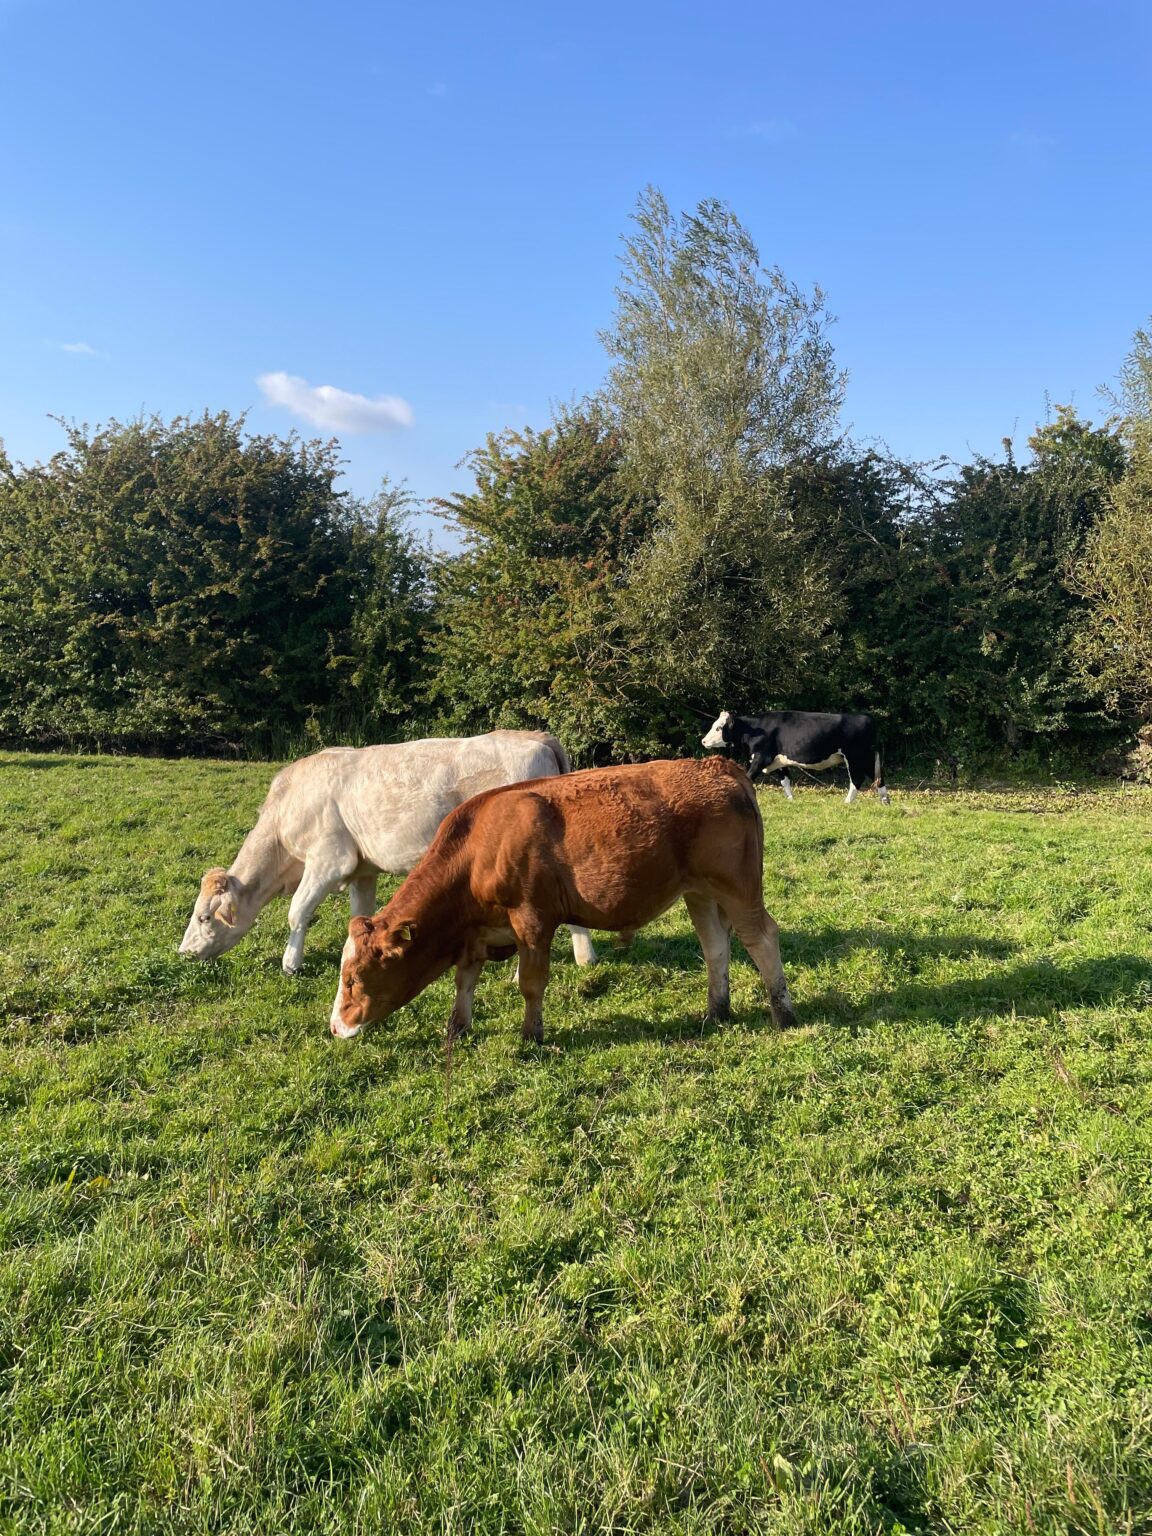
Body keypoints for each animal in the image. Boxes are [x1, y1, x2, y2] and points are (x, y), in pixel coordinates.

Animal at [178, 731, 597, 975]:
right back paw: (584, 958)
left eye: (203, 917)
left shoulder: (329, 859)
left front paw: (290, 965)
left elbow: (297, 912)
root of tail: (533, 737)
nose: (183, 952)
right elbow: (359, 915)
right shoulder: (362, 870)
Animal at [329, 755, 798, 1044]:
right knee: (715, 946)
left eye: (353, 978)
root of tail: (717, 765)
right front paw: (457, 1029)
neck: (478, 849)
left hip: (738, 886)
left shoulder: (532, 920)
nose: (335, 1027)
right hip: (699, 892)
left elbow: (530, 983)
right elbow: (465, 980)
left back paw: (784, 1015)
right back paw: (716, 1011)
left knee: (762, 938)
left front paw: (531, 1036)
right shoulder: (476, 933)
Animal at [701, 709, 890, 805]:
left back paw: (847, 802)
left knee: (857, 779)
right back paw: (885, 801)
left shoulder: (761, 757)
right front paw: (791, 800)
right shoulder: (777, 761)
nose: (703, 741)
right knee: (878, 777)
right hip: (866, 758)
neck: (754, 729)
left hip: (855, 757)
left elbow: (747, 777)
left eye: (718, 728)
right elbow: (785, 780)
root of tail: (867, 718)